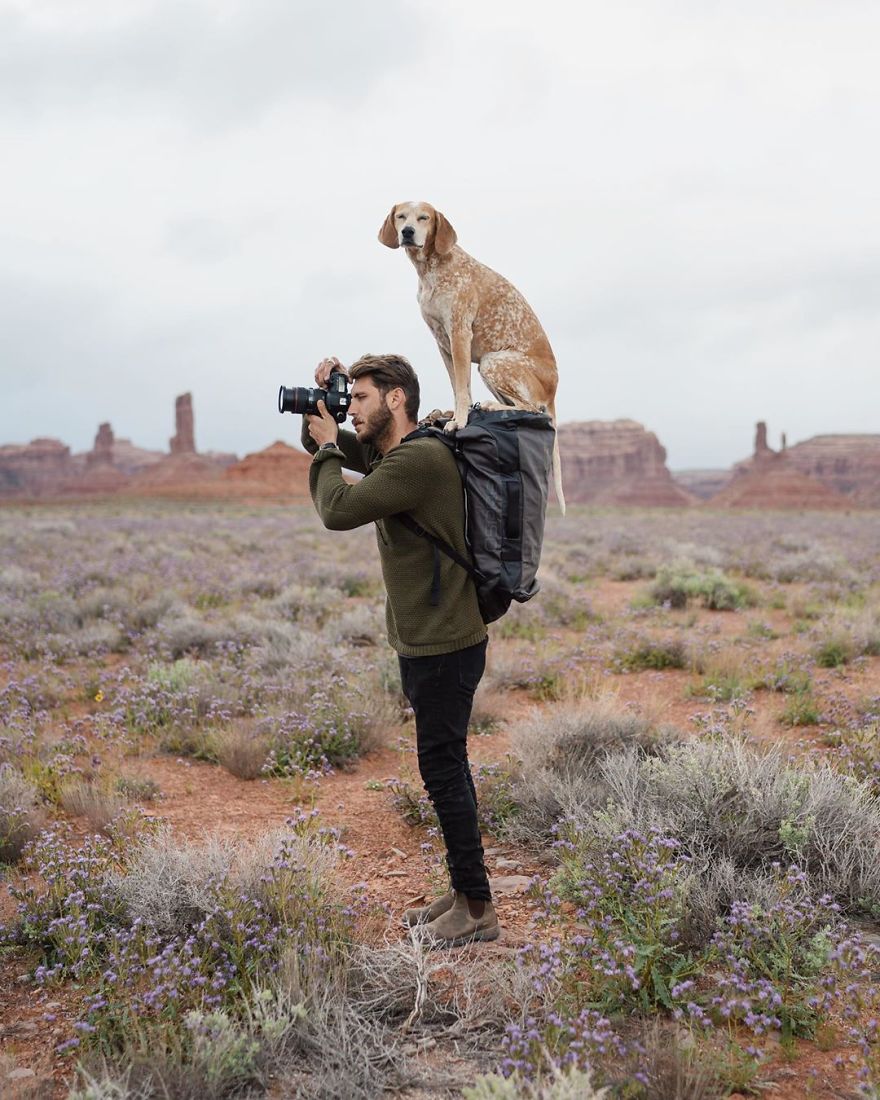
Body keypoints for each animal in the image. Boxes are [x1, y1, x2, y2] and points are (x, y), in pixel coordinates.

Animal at [378, 200, 563, 512]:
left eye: (424, 217)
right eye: (401, 216)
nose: (407, 232)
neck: (431, 268)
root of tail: (554, 390)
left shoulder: (460, 334)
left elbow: (463, 390)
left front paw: (460, 421)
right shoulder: (442, 341)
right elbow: (458, 386)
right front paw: (454, 415)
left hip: (493, 361)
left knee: (531, 408)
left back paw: (488, 406)